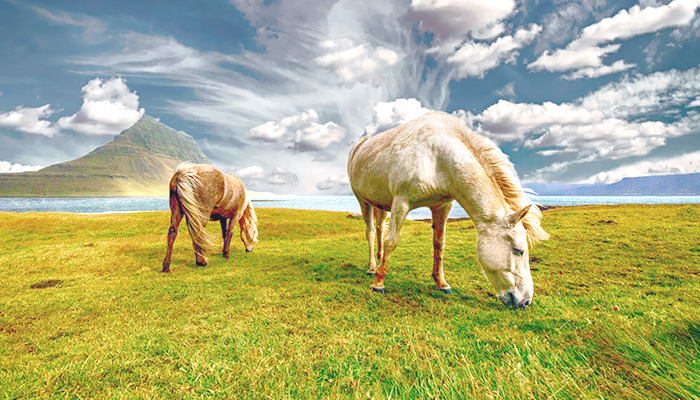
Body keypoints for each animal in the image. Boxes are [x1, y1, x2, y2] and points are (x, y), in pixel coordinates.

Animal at [348, 111, 548, 310]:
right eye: (518, 250)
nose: (525, 301)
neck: (437, 157)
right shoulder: (401, 202)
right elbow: (391, 242)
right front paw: (378, 284)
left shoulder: (442, 207)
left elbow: (439, 244)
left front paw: (441, 283)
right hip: (363, 201)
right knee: (371, 232)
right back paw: (373, 268)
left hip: (381, 204)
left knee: (380, 229)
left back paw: (379, 261)